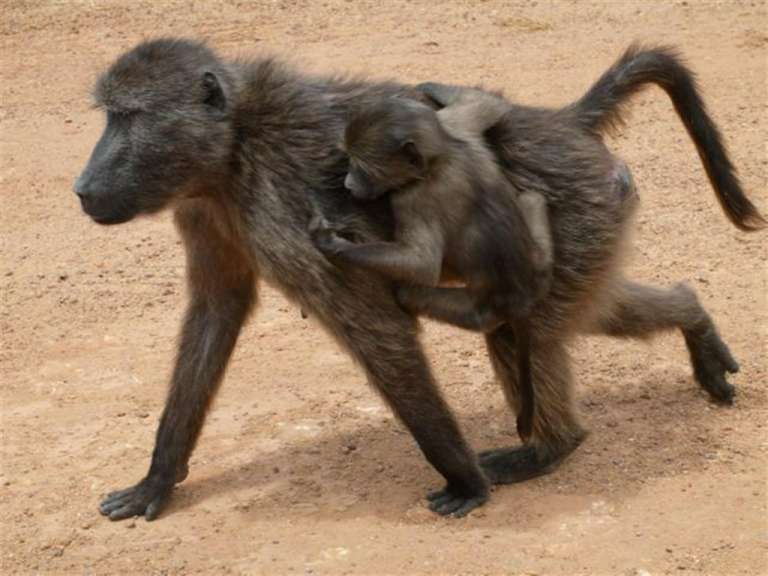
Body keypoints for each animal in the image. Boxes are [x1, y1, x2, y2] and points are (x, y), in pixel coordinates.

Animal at [310, 91, 554, 443]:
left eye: (362, 167)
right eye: (350, 161)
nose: (347, 183)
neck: (443, 154)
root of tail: (520, 299)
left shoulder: (413, 197)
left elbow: (421, 264)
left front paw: (332, 243)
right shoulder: (456, 128)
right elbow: (485, 104)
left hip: (479, 308)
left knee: (412, 293)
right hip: (538, 265)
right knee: (532, 199)